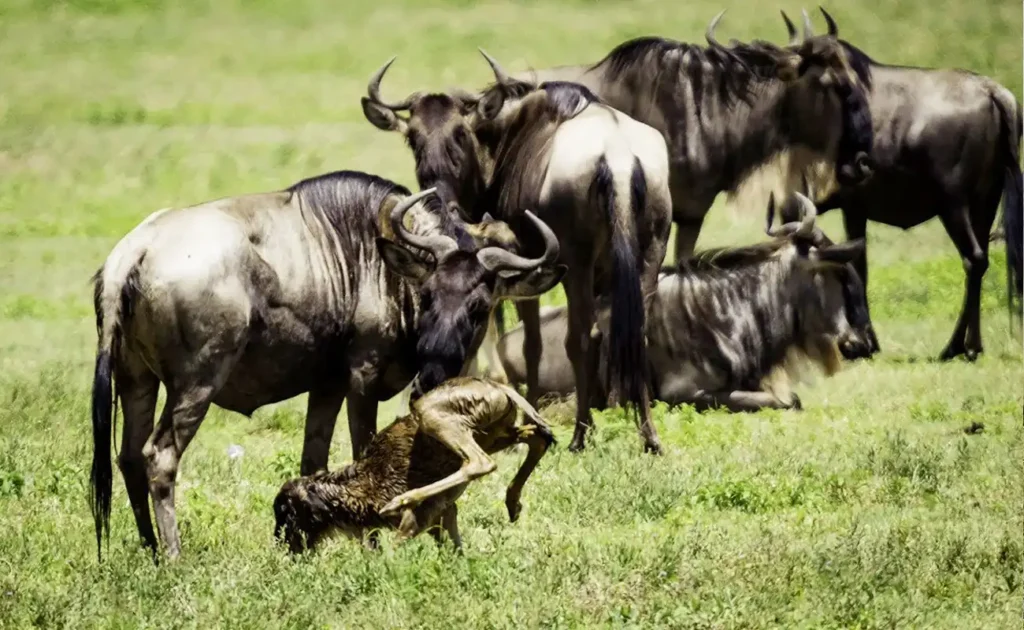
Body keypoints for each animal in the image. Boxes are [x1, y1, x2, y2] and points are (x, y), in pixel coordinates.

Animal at [274, 376, 552, 553]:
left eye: (286, 512)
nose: (281, 546)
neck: (360, 487)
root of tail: (497, 386)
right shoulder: (444, 517)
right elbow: (456, 551)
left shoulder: (416, 523)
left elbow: (390, 554)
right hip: (495, 434)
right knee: (536, 437)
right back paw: (513, 504)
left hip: (432, 415)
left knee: (480, 462)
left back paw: (402, 500)